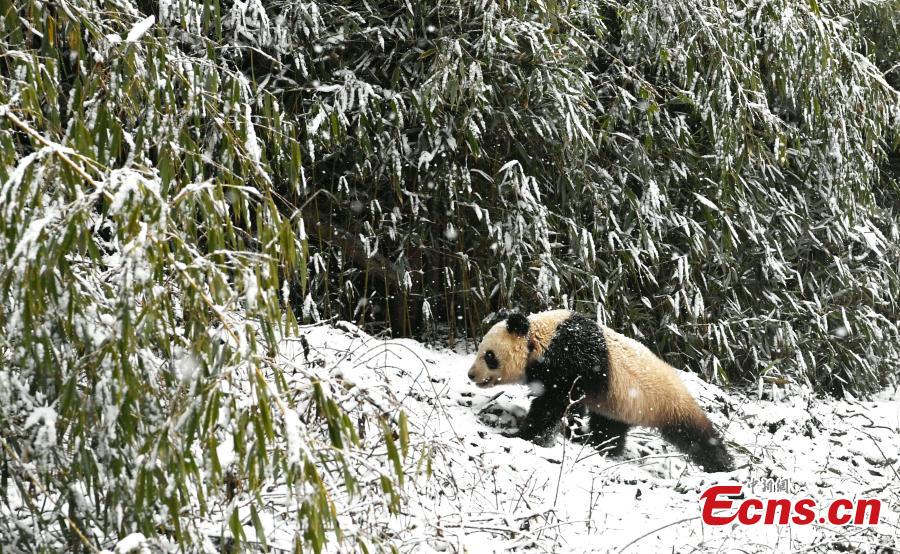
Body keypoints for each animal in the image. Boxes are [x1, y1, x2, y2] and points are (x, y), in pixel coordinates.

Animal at [468, 308, 736, 468]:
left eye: (489, 356)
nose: (471, 375)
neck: (542, 338)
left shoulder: (572, 359)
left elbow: (553, 404)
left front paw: (521, 435)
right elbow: (571, 407)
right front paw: (570, 432)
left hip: (666, 402)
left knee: (696, 434)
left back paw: (722, 465)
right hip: (620, 404)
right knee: (609, 429)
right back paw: (602, 448)